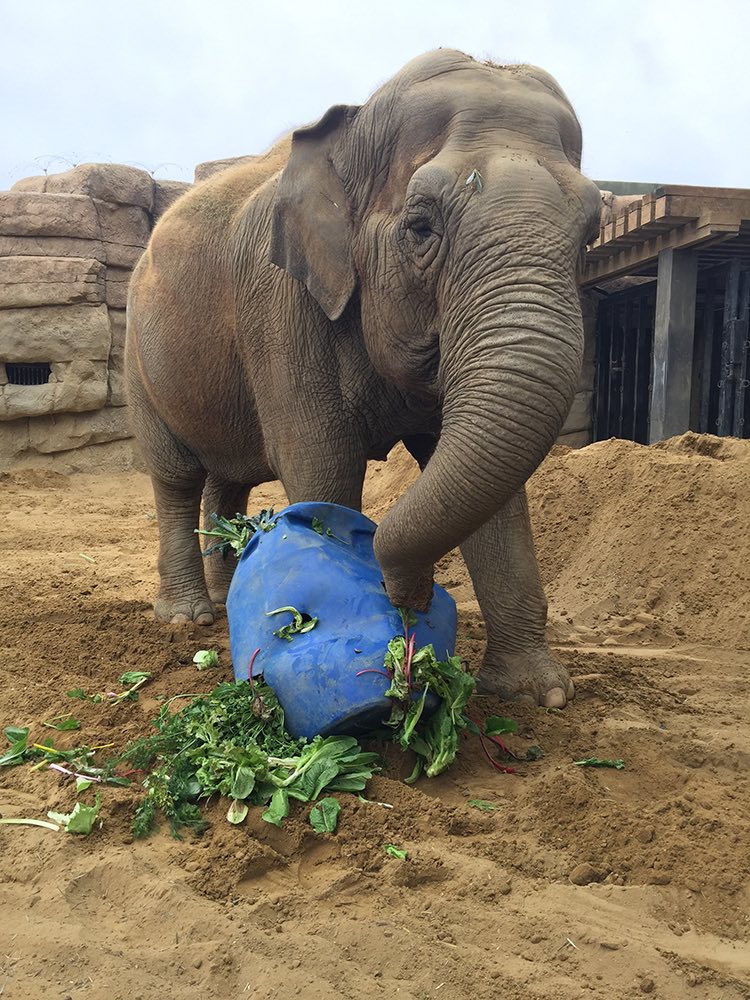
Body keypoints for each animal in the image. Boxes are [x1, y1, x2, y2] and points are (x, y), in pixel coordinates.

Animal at [126, 50, 604, 712]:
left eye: (591, 235)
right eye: (421, 227)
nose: (411, 595)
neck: (351, 133)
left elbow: (498, 492)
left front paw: (538, 696)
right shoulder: (280, 303)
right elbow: (323, 460)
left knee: (230, 478)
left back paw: (227, 599)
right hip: (137, 356)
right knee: (175, 475)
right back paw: (187, 617)